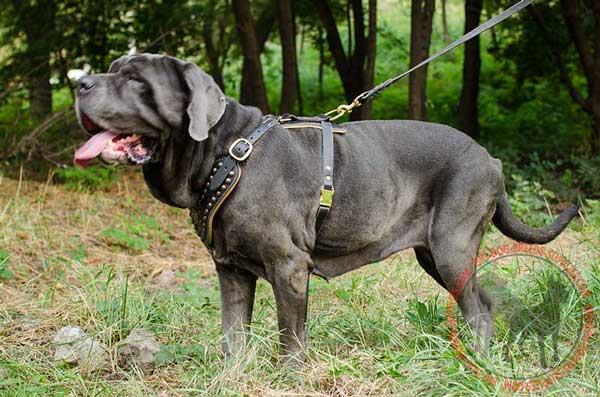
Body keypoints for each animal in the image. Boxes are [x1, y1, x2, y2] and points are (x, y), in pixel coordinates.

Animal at [72, 54, 580, 360]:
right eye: (114, 69)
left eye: (135, 80)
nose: (80, 84)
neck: (223, 152)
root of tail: (490, 157)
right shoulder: (230, 271)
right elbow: (233, 337)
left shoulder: (289, 268)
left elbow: (290, 339)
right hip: (435, 256)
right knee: (484, 302)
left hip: (451, 247)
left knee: (477, 311)